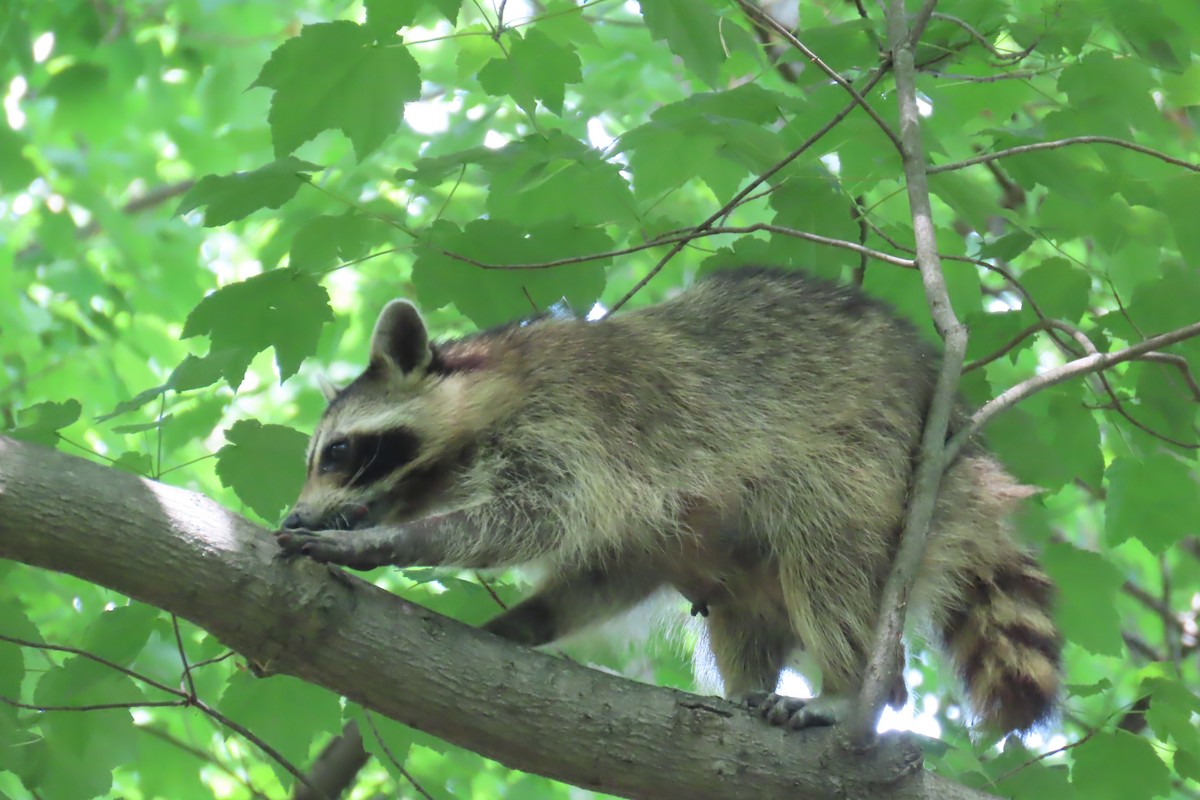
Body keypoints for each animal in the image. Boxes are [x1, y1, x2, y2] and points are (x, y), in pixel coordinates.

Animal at [277, 267, 1061, 734]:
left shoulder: (580, 424)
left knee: (826, 550)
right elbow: (603, 573)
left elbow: (537, 517)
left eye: (338, 454)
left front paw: (391, 542)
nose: (295, 513)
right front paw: (522, 622)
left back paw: (854, 688)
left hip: (874, 465)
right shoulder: (631, 517)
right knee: (745, 608)